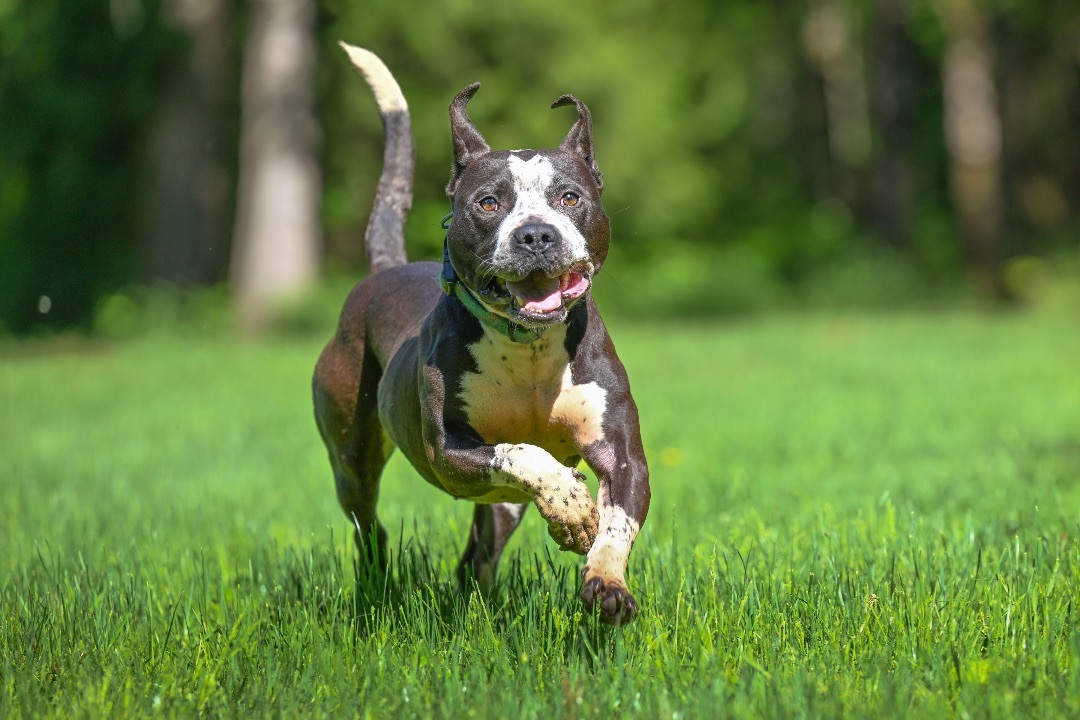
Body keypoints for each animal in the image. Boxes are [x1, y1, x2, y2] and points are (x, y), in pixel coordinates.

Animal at [313, 43, 648, 626]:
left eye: (569, 197)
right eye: (489, 202)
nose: (535, 235)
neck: (529, 347)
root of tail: (384, 269)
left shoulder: (621, 452)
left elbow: (616, 522)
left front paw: (607, 583)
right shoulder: (449, 452)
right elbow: (522, 453)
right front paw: (571, 507)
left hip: (501, 509)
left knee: (477, 556)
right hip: (351, 458)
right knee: (369, 527)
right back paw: (377, 588)